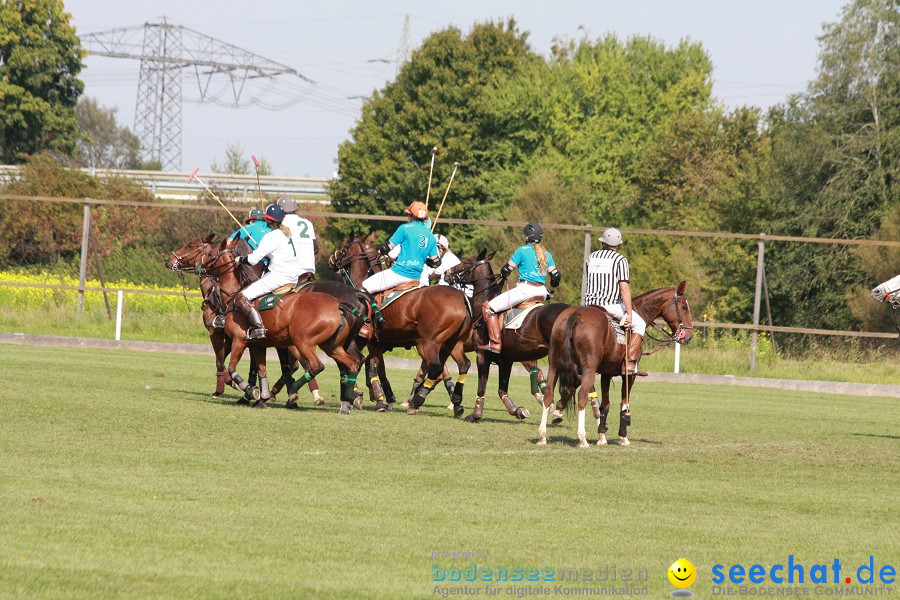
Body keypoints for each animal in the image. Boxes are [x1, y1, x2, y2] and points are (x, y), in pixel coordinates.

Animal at [203, 238, 370, 412]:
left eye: (210, 254)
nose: (201, 269)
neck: (233, 295)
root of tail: (339, 305)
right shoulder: (258, 345)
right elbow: (262, 370)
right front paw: (262, 397)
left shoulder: (239, 340)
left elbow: (232, 368)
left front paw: (251, 391)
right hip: (332, 345)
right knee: (352, 363)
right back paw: (347, 401)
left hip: (303, 341)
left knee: (317, 366)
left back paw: (297, 391)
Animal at [328, 234, 472, 418]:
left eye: (344, 247)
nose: (331, 261)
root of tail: (462, 300)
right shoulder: (379, 343)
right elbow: (375, 367)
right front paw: (382, 397)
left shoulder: (370, 341)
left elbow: (370, 367)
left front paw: (377, 399)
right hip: (453, 342)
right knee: (462, 366)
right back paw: (456, 404)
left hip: (430, 342)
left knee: (436, 369)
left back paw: (416, 402)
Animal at [442, 252, 568, 422]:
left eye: (467, 262)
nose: (447, 273)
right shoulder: (506, 360)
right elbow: (502, 390)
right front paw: (517, 410)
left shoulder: (482, 355)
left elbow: (482, 386)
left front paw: (475, 415)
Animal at [536, 282, 696, 446]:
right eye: (684, 307)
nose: (689, 336)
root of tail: (575, 315)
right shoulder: (629, 375)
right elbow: (624, 403)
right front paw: (623, 437)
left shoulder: (606, 373)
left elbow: (605, 404)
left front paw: (601, 436)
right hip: (588, 368)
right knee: (582, 397)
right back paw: (582, 438)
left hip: (554, 364)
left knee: (548, 394)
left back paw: (542, 436)